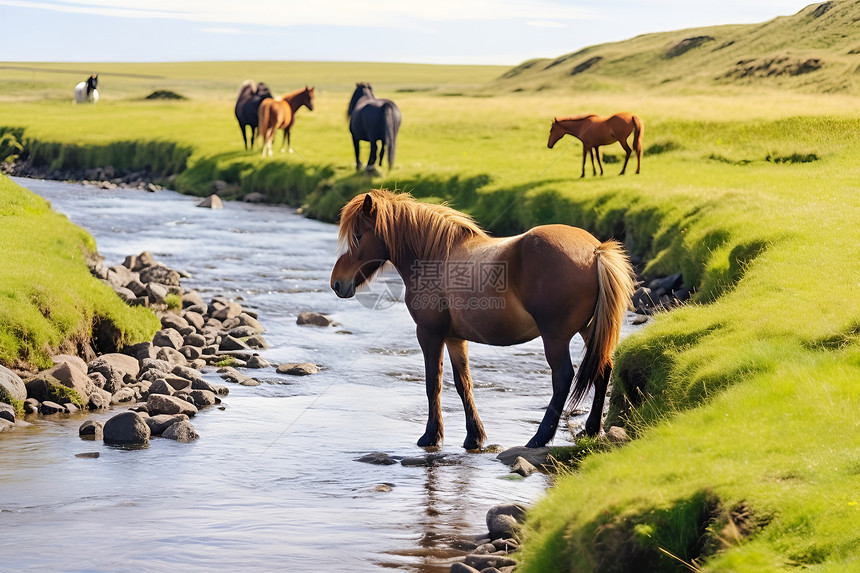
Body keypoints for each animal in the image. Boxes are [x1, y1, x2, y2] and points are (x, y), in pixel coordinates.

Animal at [332, 190, 636, 450]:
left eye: (358, 236)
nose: (337, 283)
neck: (435, 259)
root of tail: (595, 251)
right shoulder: (454, 338)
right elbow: (463, 383)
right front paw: (473, 437)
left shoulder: (429, 333)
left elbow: (434, 383)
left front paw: (431, 436)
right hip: (591, 330)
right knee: (603, 369)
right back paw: (592, 429)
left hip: (555, 337)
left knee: (562, 377)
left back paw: (539, 438)